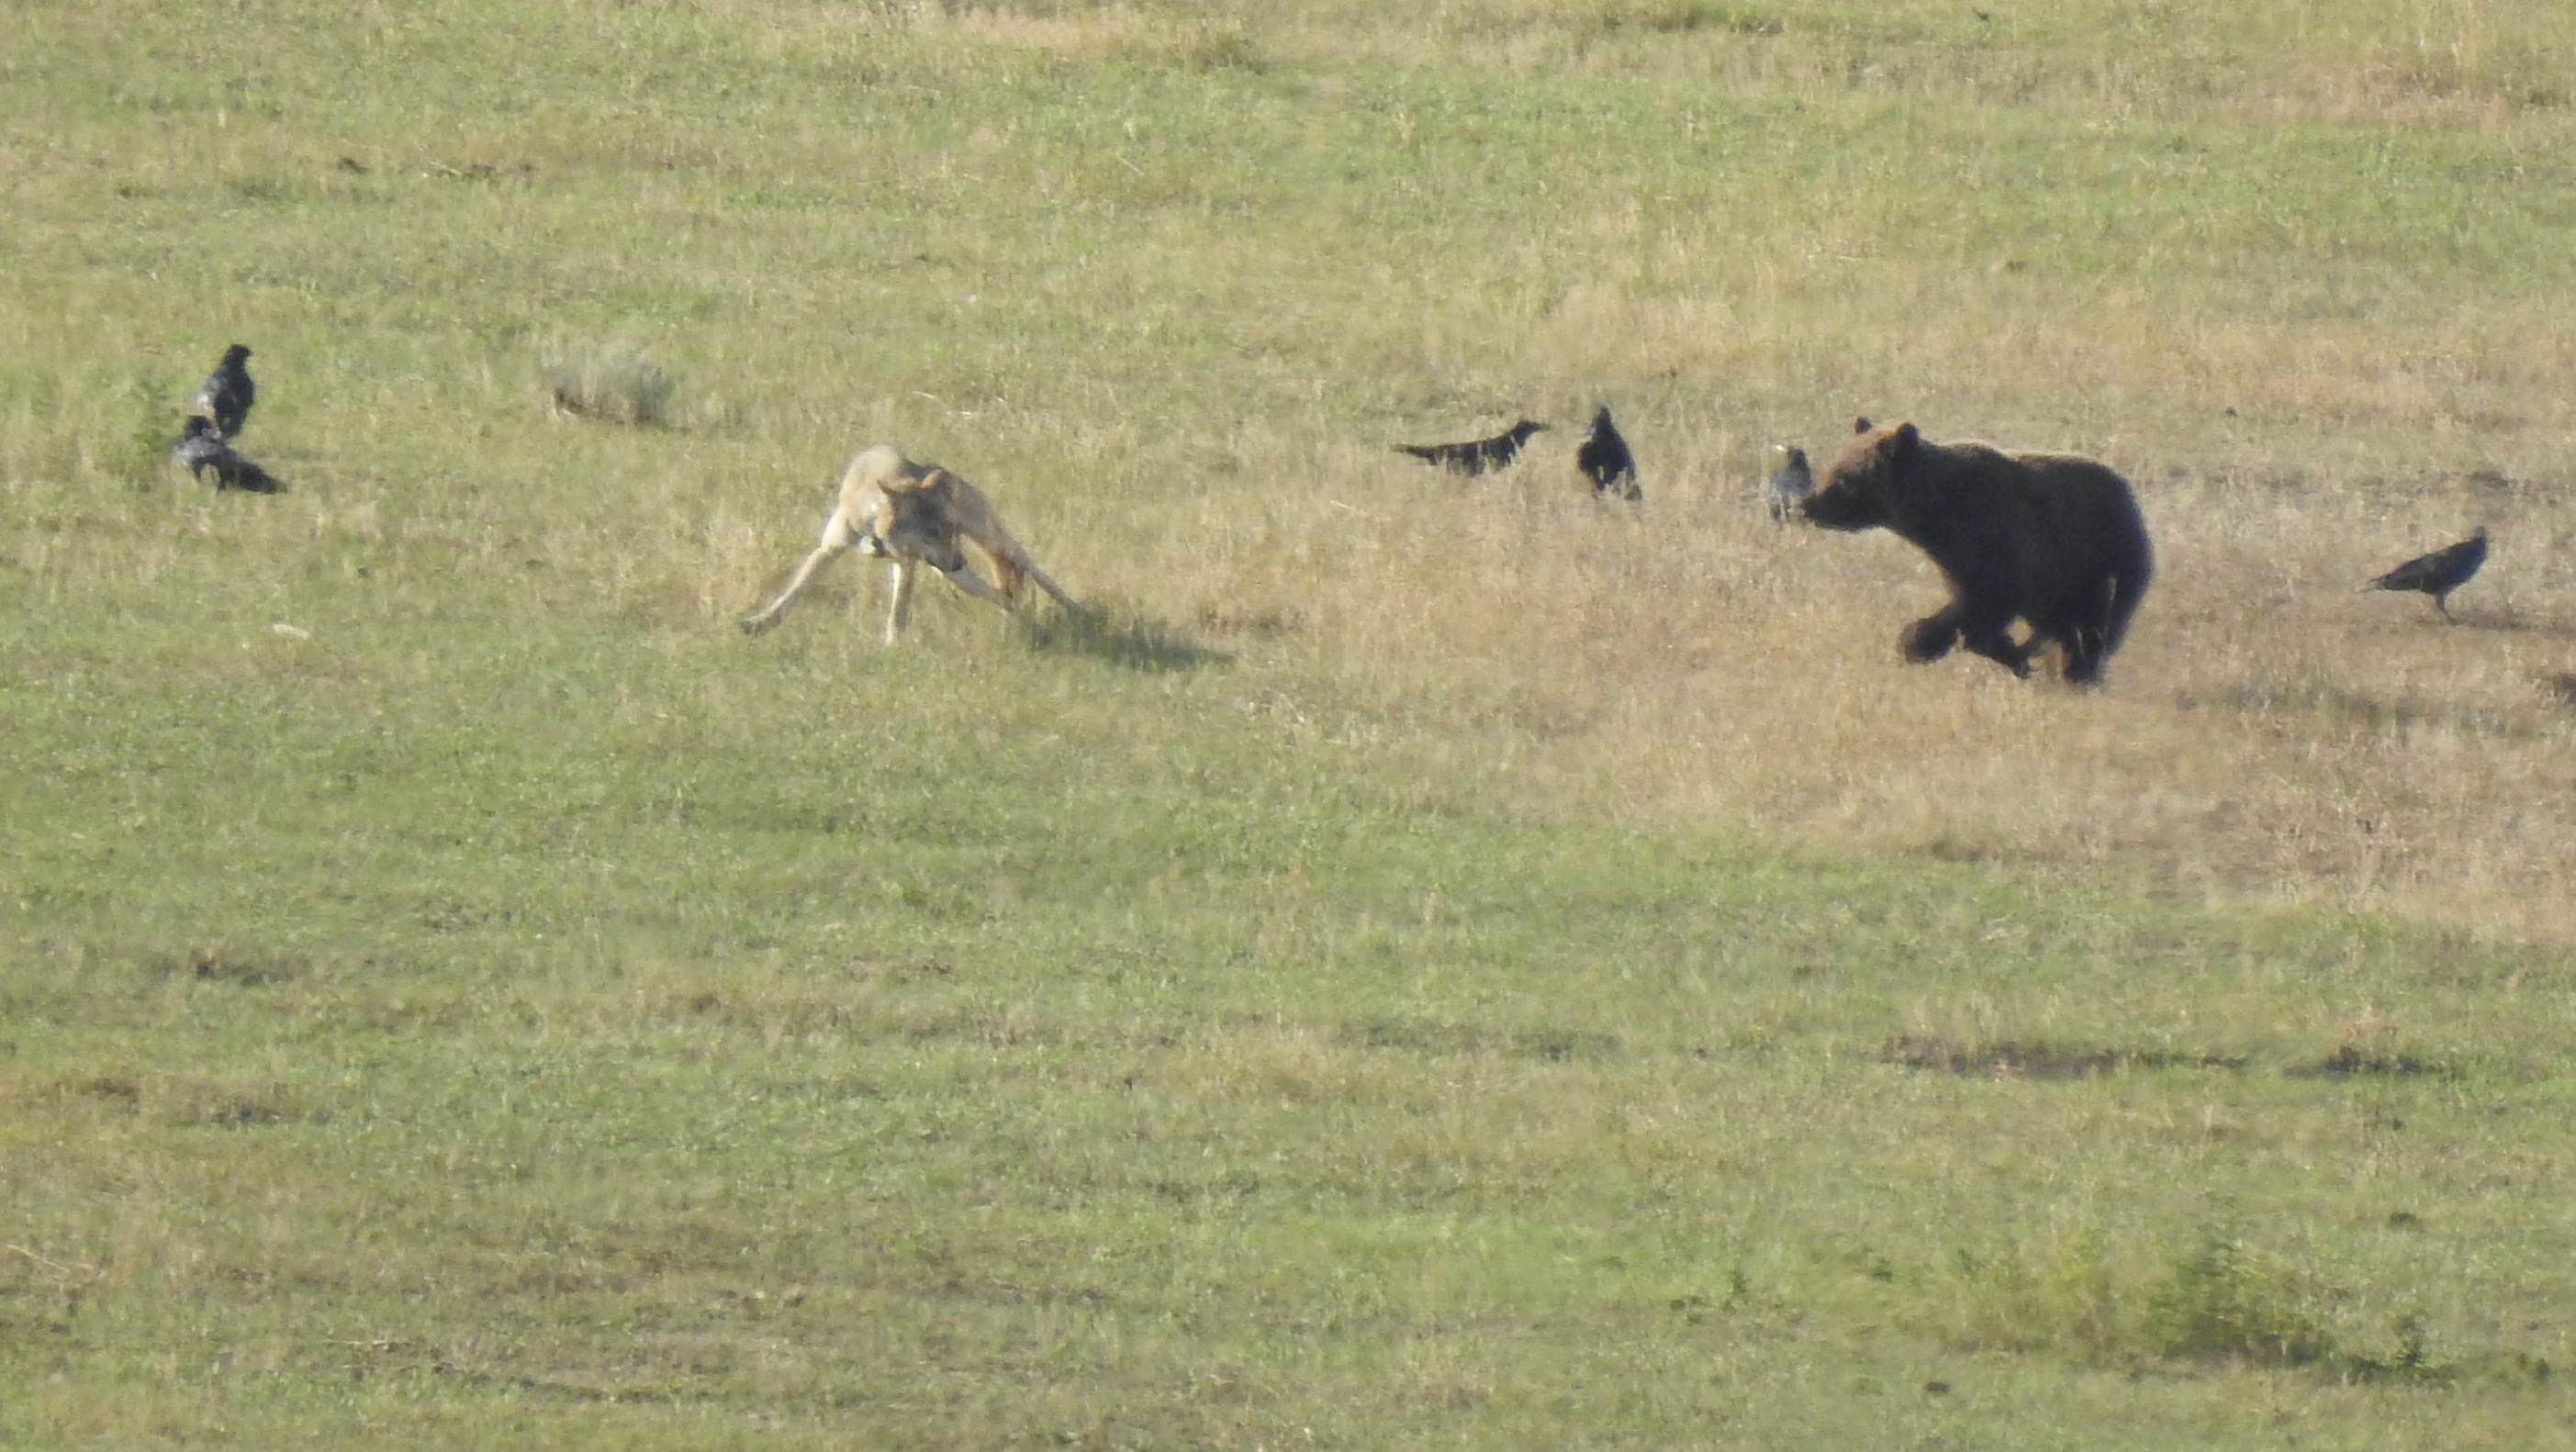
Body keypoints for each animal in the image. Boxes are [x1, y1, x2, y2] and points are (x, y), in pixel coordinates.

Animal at [1798, 421, 2152, 686]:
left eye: (1845, 478)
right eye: (1833, 467)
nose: (1808, 504)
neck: (1935, 515)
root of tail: (2124, 485)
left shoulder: (1996, 542)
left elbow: (1984, 604)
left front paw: (1917, 643)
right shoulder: (1957, 560)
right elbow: (1972, 607)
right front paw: (2009, 651)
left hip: (2108, 553)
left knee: (2103, 618)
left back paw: (2082, 667)